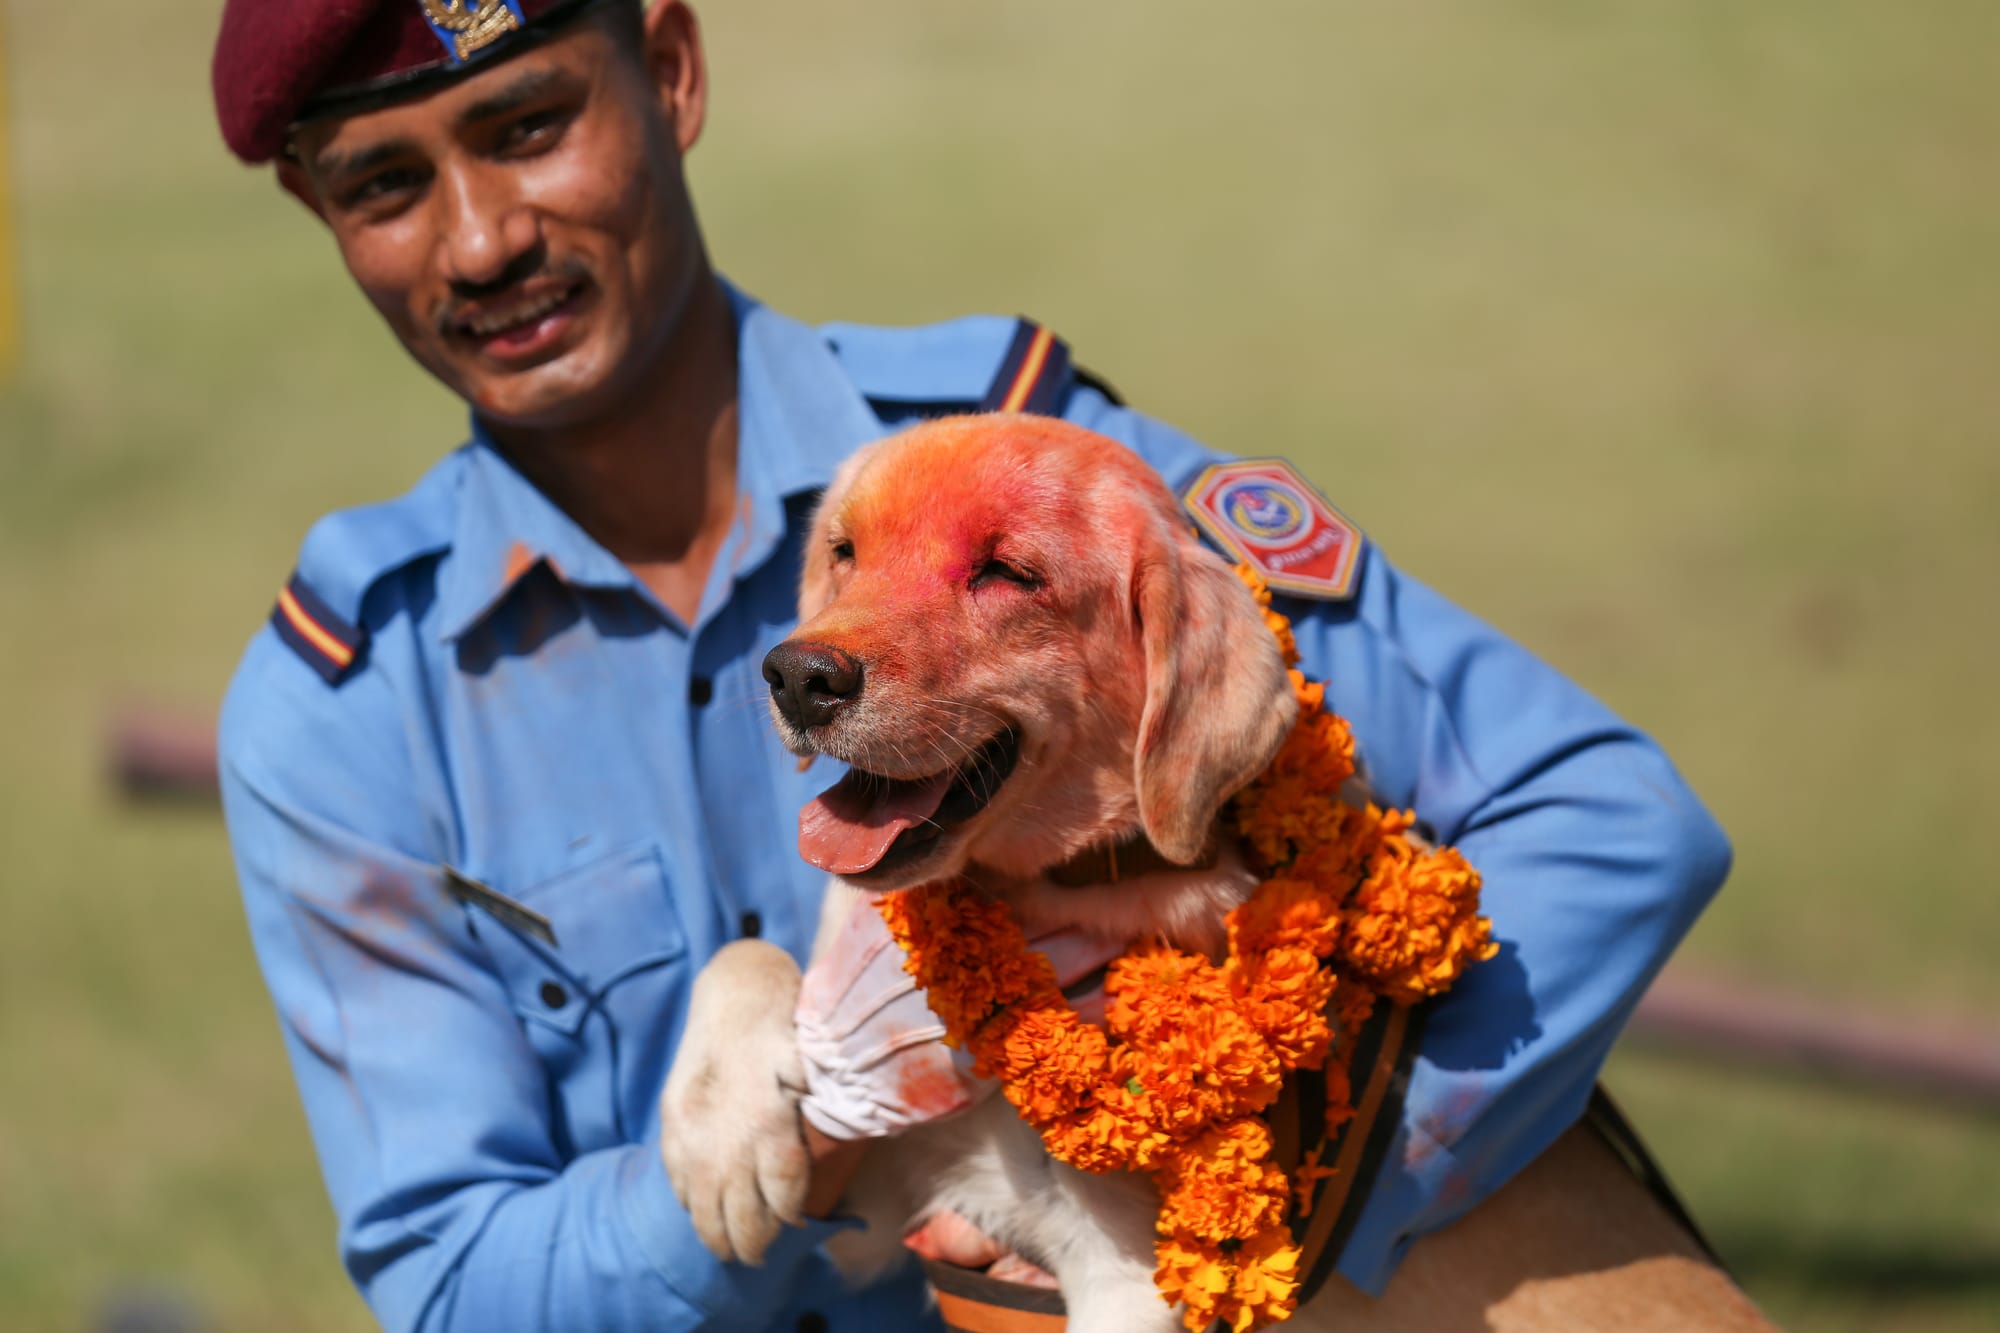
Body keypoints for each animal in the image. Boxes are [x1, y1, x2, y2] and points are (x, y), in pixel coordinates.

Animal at [660, 416, 1768, 1328]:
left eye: (1007, 574)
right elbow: (746, 958)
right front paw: (721, 1133)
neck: (1047, 887)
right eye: (843, 551)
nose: (797, 676)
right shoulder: (885, 1201)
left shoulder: (1116, 1282)